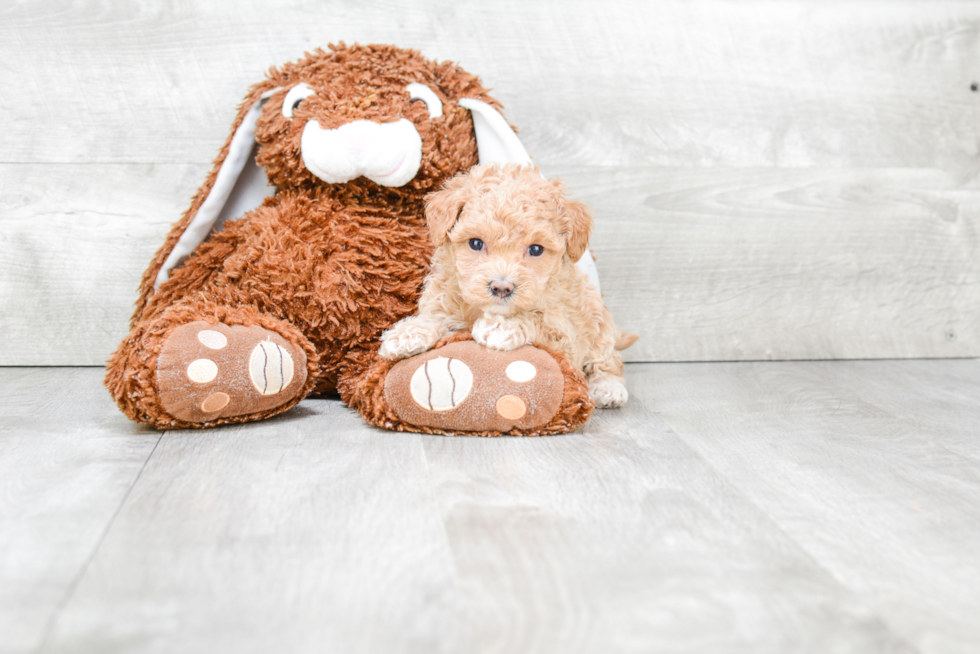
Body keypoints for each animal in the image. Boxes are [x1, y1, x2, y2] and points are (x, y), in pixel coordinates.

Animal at [378, 163, 632, 410]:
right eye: (476, 243)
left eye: (536, 249)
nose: (502, 287)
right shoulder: (444, 303)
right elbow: (436, 318)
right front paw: (408, 333)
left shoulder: (564, 336)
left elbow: (538, 319)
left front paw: (501, 327)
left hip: (599, 323)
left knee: (608, 361)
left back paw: (608, 388)